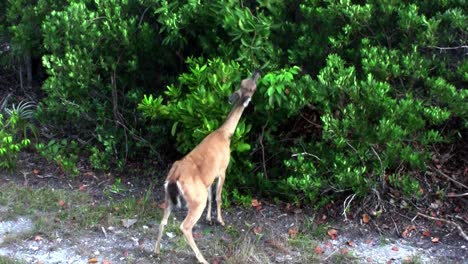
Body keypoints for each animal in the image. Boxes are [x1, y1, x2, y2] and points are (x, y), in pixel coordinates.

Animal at [154, 69, 262, 264]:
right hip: (197, 199)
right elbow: (218, 197)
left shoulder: (209, 177)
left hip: (167, 195)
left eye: (245, 81)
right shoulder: (223, 169)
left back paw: (157, 251)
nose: (257, 71)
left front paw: (210, 219)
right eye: (252, 87)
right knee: (185, 226)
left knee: (163, 220)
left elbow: (212, 195)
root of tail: (174, 177)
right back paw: (202, 258)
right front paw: (220, 220)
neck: (225, 134)